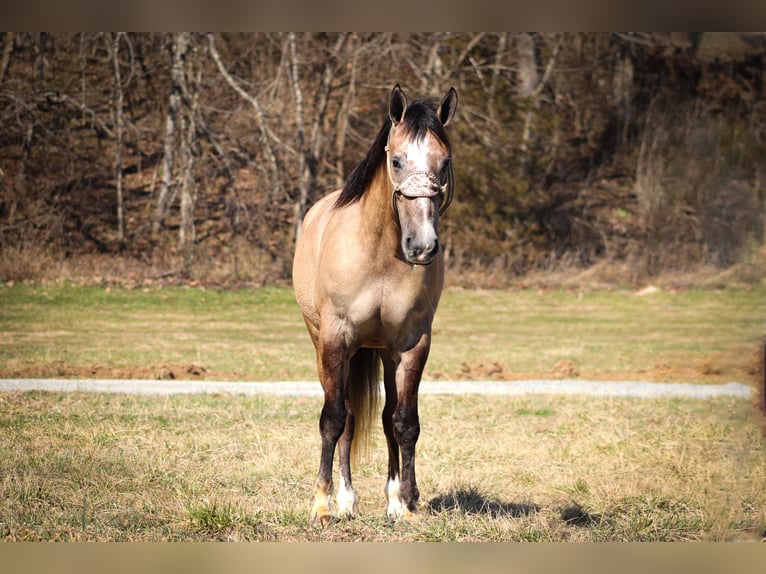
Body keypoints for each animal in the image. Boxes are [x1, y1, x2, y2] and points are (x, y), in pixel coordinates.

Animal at [292, 83, 460, 528]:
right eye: (397, 161)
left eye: (444, 162)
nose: (422, 246)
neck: (381, 254)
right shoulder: (336, 340)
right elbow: (334, 419)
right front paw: (321, 505)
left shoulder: (412, 345)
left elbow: (404, 423)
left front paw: (407, 504)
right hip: (325, 346)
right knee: (347, 417)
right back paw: (346, 501)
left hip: (382, 353)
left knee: (386, 419)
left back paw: (391, 500)